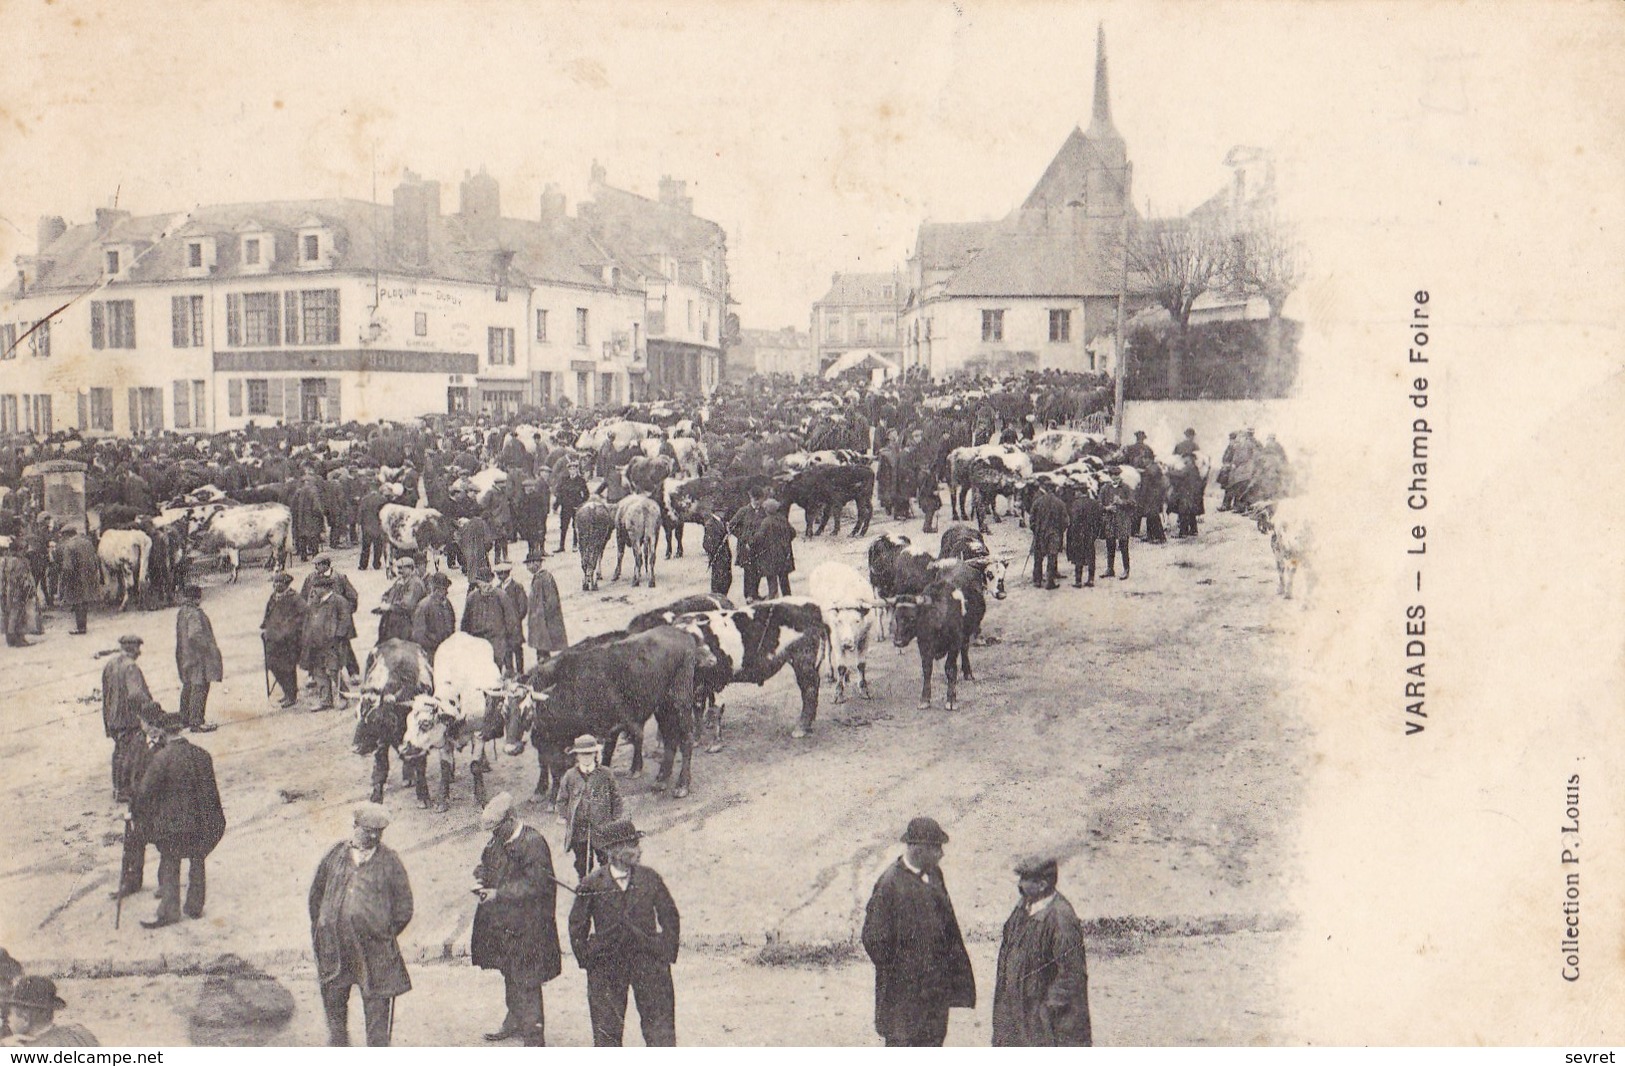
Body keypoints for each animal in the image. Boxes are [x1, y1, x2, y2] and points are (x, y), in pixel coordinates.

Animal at [354, 637, 435, 802]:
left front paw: (423, 795)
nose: (355, 748)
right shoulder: (382, 741)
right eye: (356, 715)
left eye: (375, 720)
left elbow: (419, 760)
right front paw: (376, 794)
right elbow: (381, 763)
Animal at [513, 627, 705, 796]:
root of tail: (683, 634)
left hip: (680, 702)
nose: (512, 747)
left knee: (686, 739)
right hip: (663, 708)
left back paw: (682, 785)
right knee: (669, 738)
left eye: (527, 711)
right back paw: (661, 780)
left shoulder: (604, 730)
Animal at [806, 562, 884, 705]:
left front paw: (864, 690)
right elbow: (841, 666)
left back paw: (846, 677)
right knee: (828, 648)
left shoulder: (865, 637)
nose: (847, 643)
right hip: (825, 627)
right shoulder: (837, 638)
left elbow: (861, 665)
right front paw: (838, 694)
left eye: (857, 620)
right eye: (840, 621)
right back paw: (830, 673)